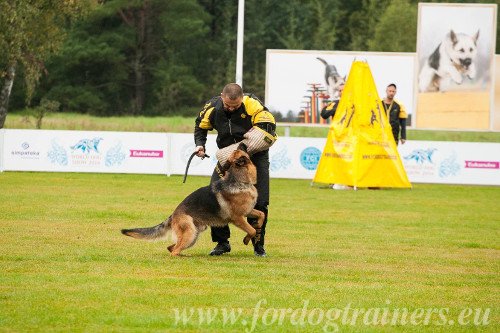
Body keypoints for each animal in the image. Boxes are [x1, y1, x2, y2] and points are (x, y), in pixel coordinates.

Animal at [120, 144, 266, 255]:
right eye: (239, 151)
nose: (243, 142)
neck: (240, 181)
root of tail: (173, 214)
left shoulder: (249, 211)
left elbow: (261, 215)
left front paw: (257, 226)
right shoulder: (238, 218)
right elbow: (251, 230)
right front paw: (247, 239)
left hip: (194, 234)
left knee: (172, 247)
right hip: (190, 233)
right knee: (174, 250)